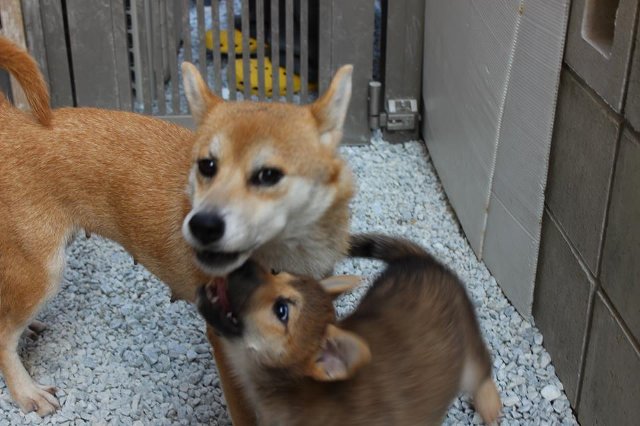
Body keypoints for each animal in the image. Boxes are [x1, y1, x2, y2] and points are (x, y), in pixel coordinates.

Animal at [0, 34, 352, 420]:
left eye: (268, 175)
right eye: (207, 165)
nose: (201, 225)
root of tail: (14, 122)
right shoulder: (224, 339)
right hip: (43, 271)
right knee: (3, 334)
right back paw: (26, 391)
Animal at [198, 235, 502, 424]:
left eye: (281, 310)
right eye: (275, 272)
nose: (244, 263)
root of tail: (421, 261)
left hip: (468, 349)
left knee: (482, 368)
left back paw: (489, 402)